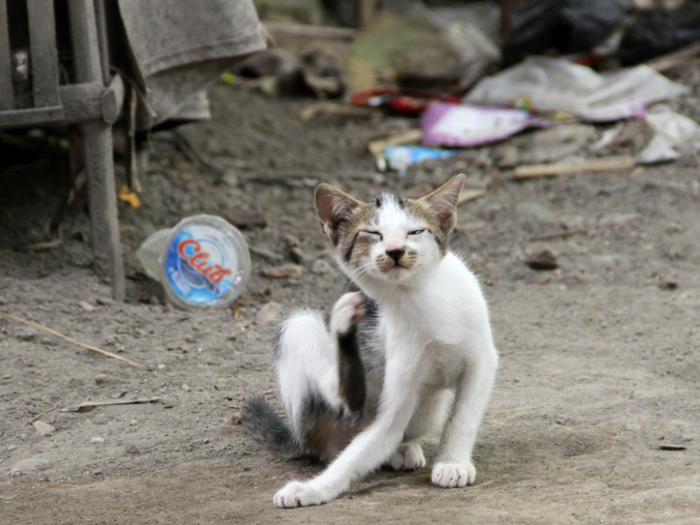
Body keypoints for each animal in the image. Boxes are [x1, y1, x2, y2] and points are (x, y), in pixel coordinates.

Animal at [243, 174, 500, 506]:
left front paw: (452, 462)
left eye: (415, 231)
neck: (418, 298)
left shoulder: (482, 361)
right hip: (310, 380)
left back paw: (402, 450)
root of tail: (299, 439)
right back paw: (342, 330)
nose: (395, 250)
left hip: (426, 412)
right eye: (372, 233)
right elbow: (358, 453)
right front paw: (312, 488)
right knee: (343, 422)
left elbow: (463, 416)